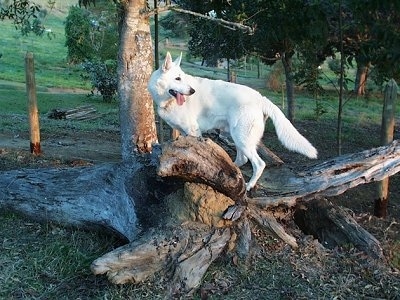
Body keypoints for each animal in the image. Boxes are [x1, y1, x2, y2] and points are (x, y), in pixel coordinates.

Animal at [148, 52, 318, 190]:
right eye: (177, 78)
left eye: (182, 78)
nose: (192, 91)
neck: (166, 101)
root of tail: (260, 98)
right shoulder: (184, 133)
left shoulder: (193, 131)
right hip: (236, 137)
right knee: (242, 159)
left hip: (242, 139)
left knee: (258, 164)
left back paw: (249, 185)